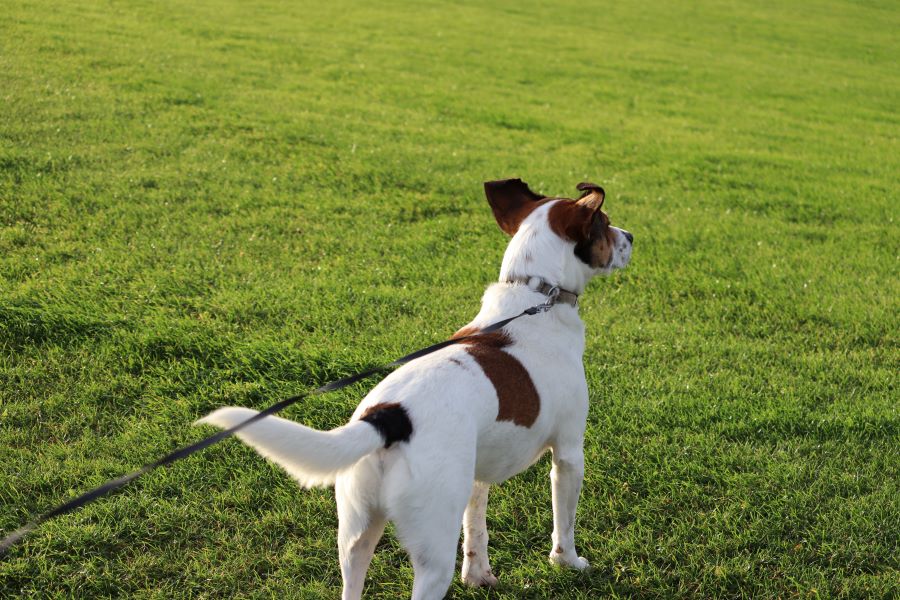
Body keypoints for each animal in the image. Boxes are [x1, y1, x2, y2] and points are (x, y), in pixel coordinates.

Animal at [197, 179, 632, 600]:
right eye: (606, 224)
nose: (631, 236)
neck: (535, 294)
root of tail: (388, 419)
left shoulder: (475, 474)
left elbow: (476, 528)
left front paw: (478, 575)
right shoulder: (569, 452)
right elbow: (564, 523)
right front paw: (569, 563)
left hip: (356, 533)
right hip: (432, 549)